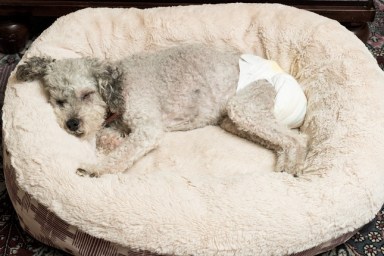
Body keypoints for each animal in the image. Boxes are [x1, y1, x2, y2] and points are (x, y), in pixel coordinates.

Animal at [15, 44, 308, 176]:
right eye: (59, 101)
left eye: (87, 95)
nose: (72, 124)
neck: (119, 86)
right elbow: (109, 138)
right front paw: (113, 140)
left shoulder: (147, 128)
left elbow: (122, 154)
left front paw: (95, 168)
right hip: (234, 119)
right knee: (285, 138)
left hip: (245, 105)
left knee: (297, 139)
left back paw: (290, 169)